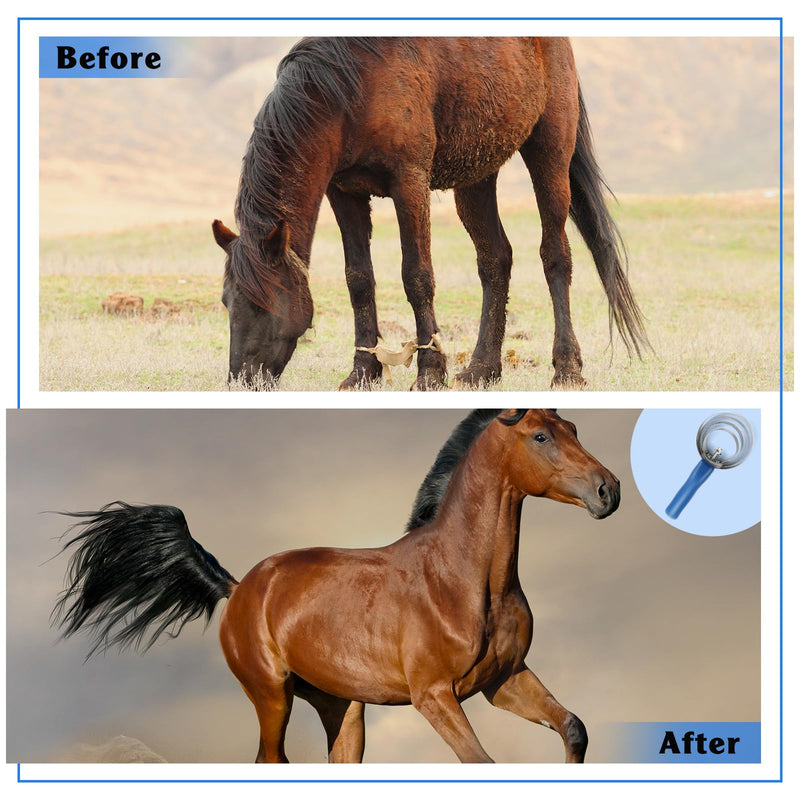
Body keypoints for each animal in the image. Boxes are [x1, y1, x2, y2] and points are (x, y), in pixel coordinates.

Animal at [53, 409, 620, 763]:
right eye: (541, 436)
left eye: (572, 426)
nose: (607, 490)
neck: (461, 580)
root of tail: (239, 588)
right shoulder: (434, 696)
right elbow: (482, 762)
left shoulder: (503, 682)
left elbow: (574, 727)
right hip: (272, 696)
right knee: (271, 759)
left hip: (341, 707)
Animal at [213, 37, 649, 390]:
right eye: (226, 302)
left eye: (263, 302)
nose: (242, 381)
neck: (348, 90)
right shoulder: (344, 191)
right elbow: (359, 280)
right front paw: (362, 372)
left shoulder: (410, 181)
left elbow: (417, 276)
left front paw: (430, 371)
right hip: (477, 175)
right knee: (495, 260)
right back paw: (481, 370)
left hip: (550, 153)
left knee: (555, 255)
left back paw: (567, 369)